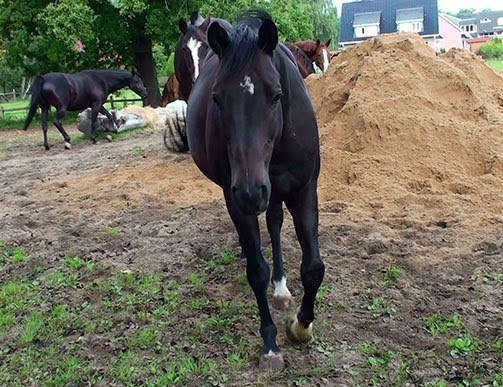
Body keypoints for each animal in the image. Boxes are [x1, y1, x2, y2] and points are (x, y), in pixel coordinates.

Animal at [187, 10, 324, 372]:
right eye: (217, 98)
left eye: (276, 94)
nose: (250, 192)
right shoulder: (237, 199)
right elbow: (257, 272)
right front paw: (270, 345)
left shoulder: (304, 189)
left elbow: (313, 267)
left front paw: (301, 326)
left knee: (274, 223)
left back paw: (282, 286)